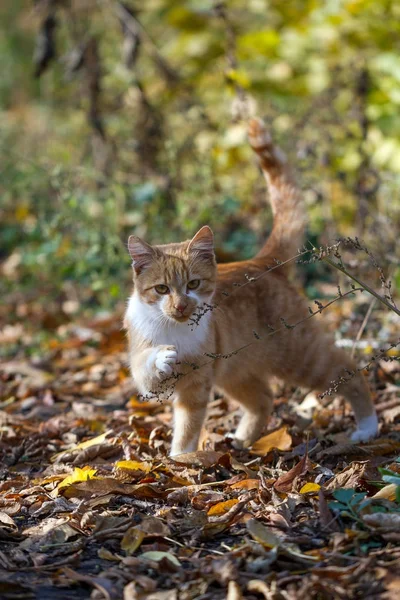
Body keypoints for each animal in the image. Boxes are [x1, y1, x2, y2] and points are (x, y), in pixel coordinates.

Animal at [124, 117, 378, 454]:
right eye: (161, 289)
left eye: (193, 284)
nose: (180, 306)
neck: (173, 329)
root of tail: (261, 261)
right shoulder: (144, 366)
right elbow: (146, 369)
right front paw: (162, 357)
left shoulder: (197, 383)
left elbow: (189, 425)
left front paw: (181, 458)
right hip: (235, 370)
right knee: (263, 398)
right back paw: (243, 440)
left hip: (298, 356)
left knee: (347, 369)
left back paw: (368, 427)